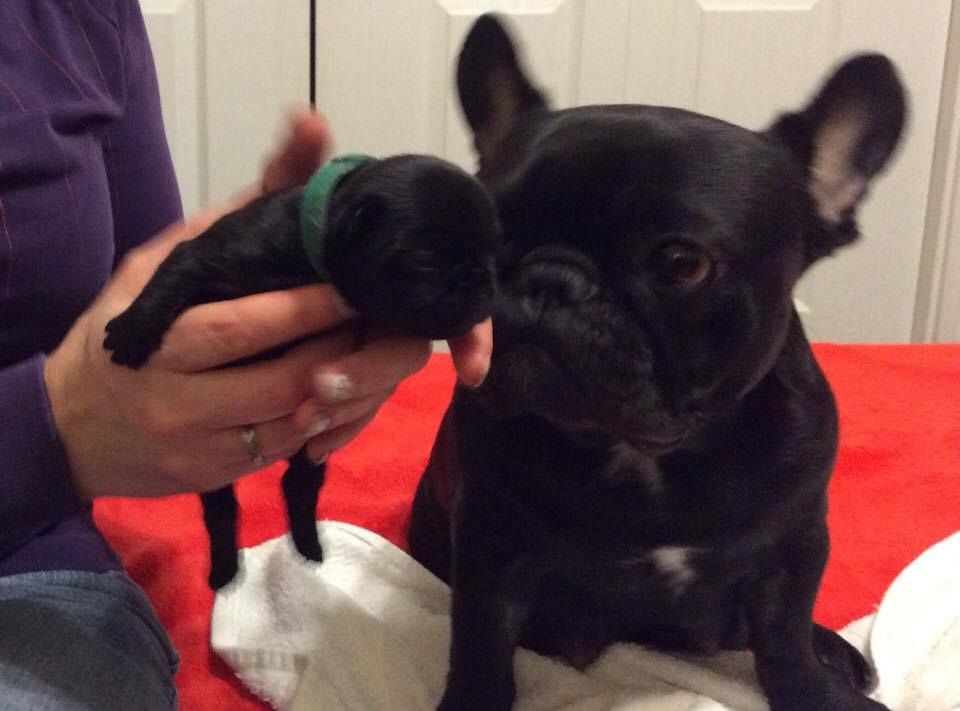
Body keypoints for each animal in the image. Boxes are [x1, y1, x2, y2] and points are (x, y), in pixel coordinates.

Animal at [104, 153, 498, 589]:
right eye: (425, 261)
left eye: (491, 254)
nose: (480, 280)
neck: (310, 259)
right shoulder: (210, 255)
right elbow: (175, 275)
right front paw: (132, 330)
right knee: (222, 507)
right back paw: (224, 571)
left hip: (311, 450)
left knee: (297, 486)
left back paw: (308, 546)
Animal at [407, 14, 906, 711]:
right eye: (491, 235)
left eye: (681, 263)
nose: (547, 280)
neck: (645, 456)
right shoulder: (489, 543)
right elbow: (481, 644)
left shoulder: (794, 546)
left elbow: (784, 636)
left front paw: (815, 690)